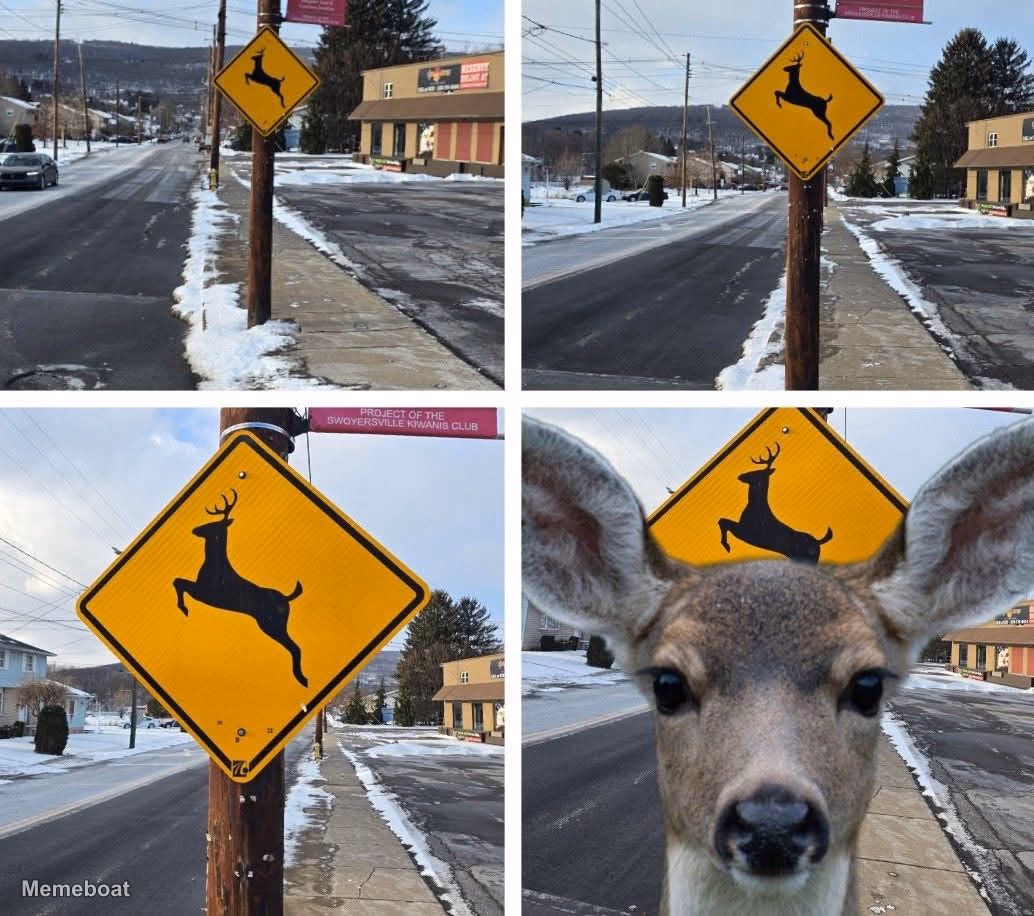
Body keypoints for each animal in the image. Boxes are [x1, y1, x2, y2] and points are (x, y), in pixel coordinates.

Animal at [173, 490, 308, 688]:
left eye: (212, 524)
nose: (194, 530)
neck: (214, 564)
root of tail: (287, 598)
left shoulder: (205, 593)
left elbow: (178, 582)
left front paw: (184, 609)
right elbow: (178, 581)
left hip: (272, 623)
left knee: (295, 647)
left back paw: (302, 679)